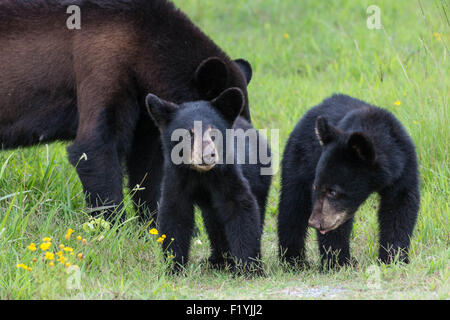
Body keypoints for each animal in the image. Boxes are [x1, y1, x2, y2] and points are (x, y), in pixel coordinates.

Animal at [0, 0, 251, 222]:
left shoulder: (146, 108)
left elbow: (148, 165)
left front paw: (152, 226)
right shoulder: (104, 63)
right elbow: (95, 146)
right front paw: (112, 226)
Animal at [145, 88, 270, 276]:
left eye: (213, 133)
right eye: (188, 134)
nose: (207, 155)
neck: (200, 174)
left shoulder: (228, 175)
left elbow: (241, 208)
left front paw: (250, 268)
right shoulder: (176, 177)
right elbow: (174, 214)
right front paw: (174, 266)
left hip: (260, 177)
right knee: (214, 223)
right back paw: (217, 260)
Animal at [280, 94, 420, 268]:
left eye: (333, 191)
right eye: (316, 186)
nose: (315, 223)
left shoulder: (404, 168)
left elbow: (399, 208)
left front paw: (393, 258)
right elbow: (336, 227)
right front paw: (338, 263)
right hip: (299, 160)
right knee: (292, 206)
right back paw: (294, 261)